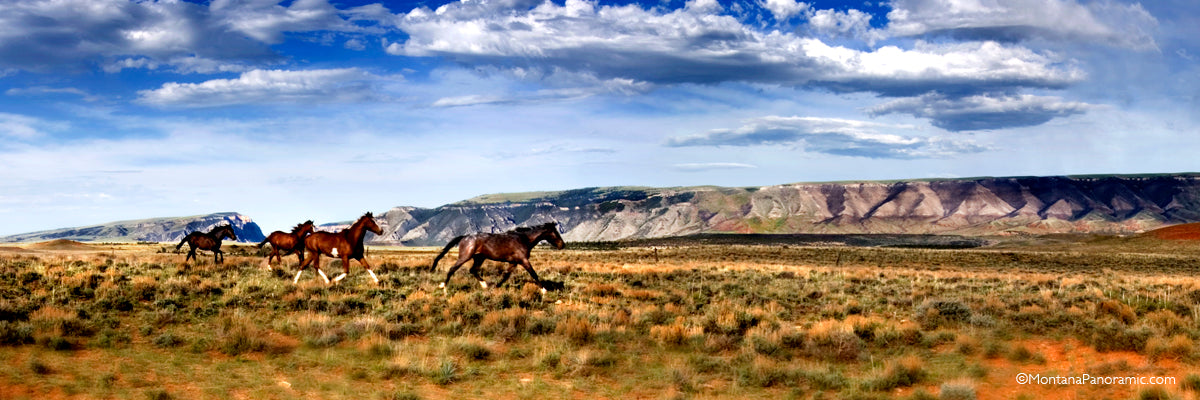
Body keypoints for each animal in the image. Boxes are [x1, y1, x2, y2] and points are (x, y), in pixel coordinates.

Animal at [429, 221, 564, 293]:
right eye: (555, 232)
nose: (562, 245)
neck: (524, 239)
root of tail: (465, 237)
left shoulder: (513, 262)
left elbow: (506, 276)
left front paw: (496, 287)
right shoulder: (523, 260)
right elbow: (534, 274)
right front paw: (544, 290)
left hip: (479, 258)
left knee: (473, 270)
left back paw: (485, 285)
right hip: (465, 256)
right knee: (453, 269)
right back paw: (444, 287)